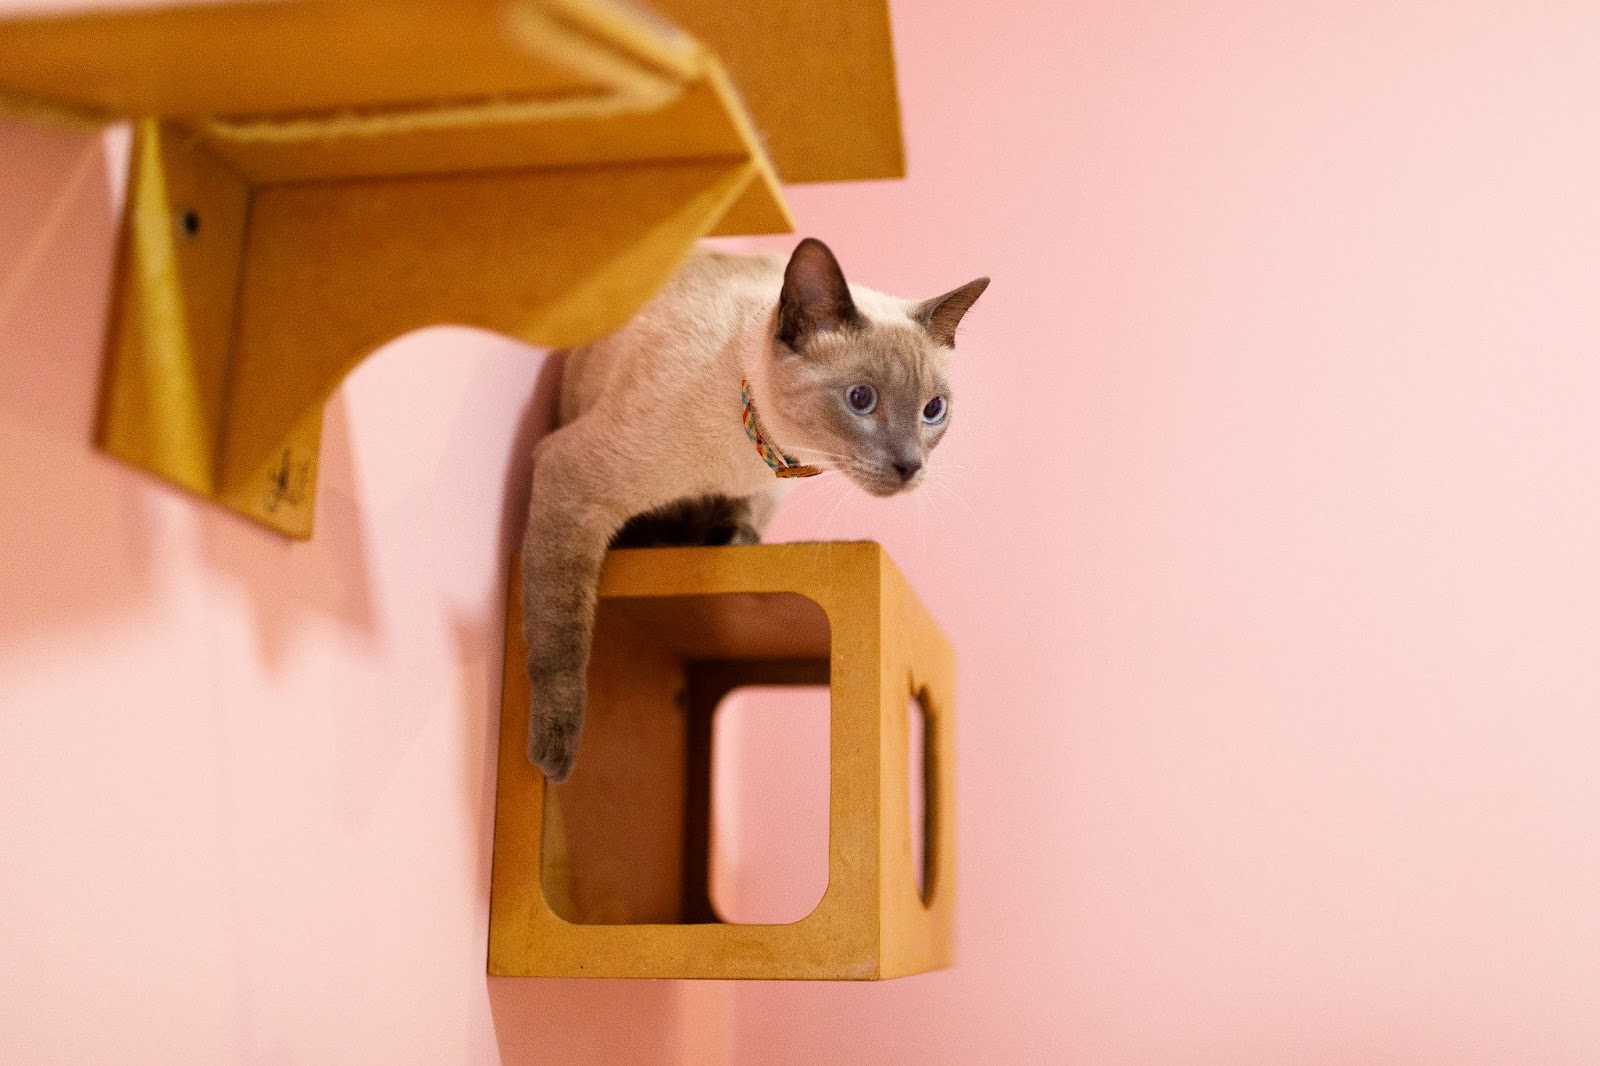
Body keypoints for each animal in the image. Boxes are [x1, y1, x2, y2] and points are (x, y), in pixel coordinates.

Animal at [521, 236, 985, 777]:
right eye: (860, 399)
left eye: (933, 410)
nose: (910, 466)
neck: (754, 458)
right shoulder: (573, 483)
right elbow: (563, 635)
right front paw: (554, 755)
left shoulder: (766, 491)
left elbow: (744, 518)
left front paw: (731, 536)